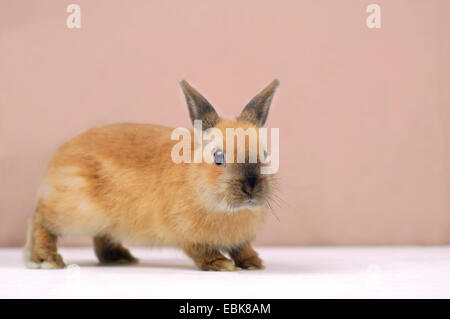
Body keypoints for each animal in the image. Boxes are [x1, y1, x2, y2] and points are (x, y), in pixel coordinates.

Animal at [24, 79, 280, 272]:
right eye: (218, 157)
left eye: (265, 153)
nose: (251, 188)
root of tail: (57, 160)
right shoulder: (187, 234)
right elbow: (201, 251)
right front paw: (221, 265)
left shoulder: (239, 238)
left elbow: (242, 247)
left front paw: (253, 263)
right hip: (76, 213)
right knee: (41, 220)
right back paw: (45, 259)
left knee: (100, 238)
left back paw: (120, 258)